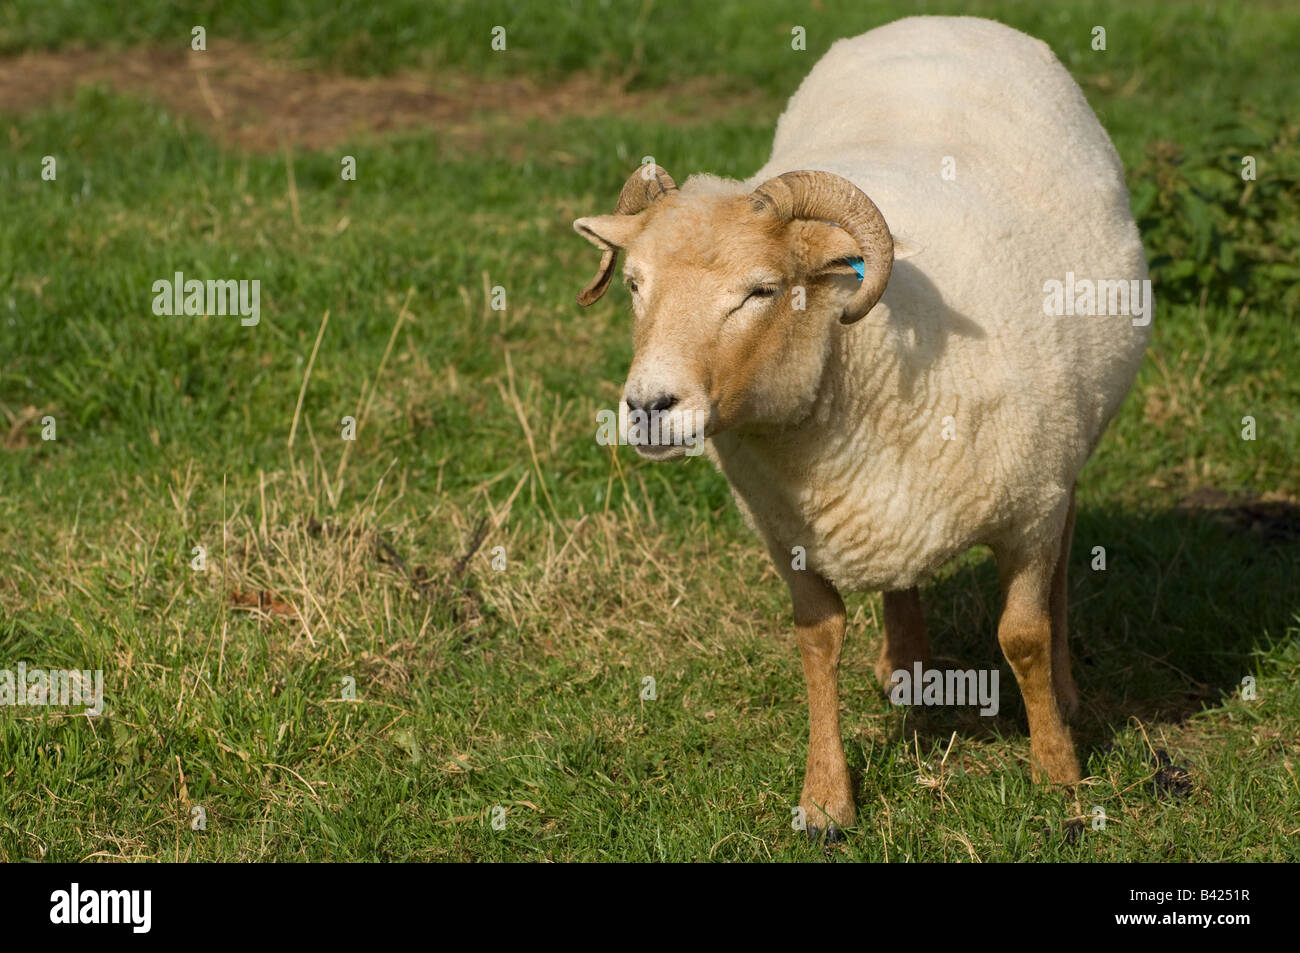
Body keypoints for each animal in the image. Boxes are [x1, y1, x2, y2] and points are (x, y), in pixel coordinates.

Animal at [569, 13, 1149, 832]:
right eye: (632, 283)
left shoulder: (1030, 507)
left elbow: (1023, 636)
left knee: (1067, 552)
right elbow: (817, 644)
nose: (649, 408)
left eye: (762, 290)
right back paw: (906, 669)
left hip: (1065, 448)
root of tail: (943, 17)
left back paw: (1064, 697)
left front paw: (1059, 776)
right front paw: (825, 800)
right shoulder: (789, 531)